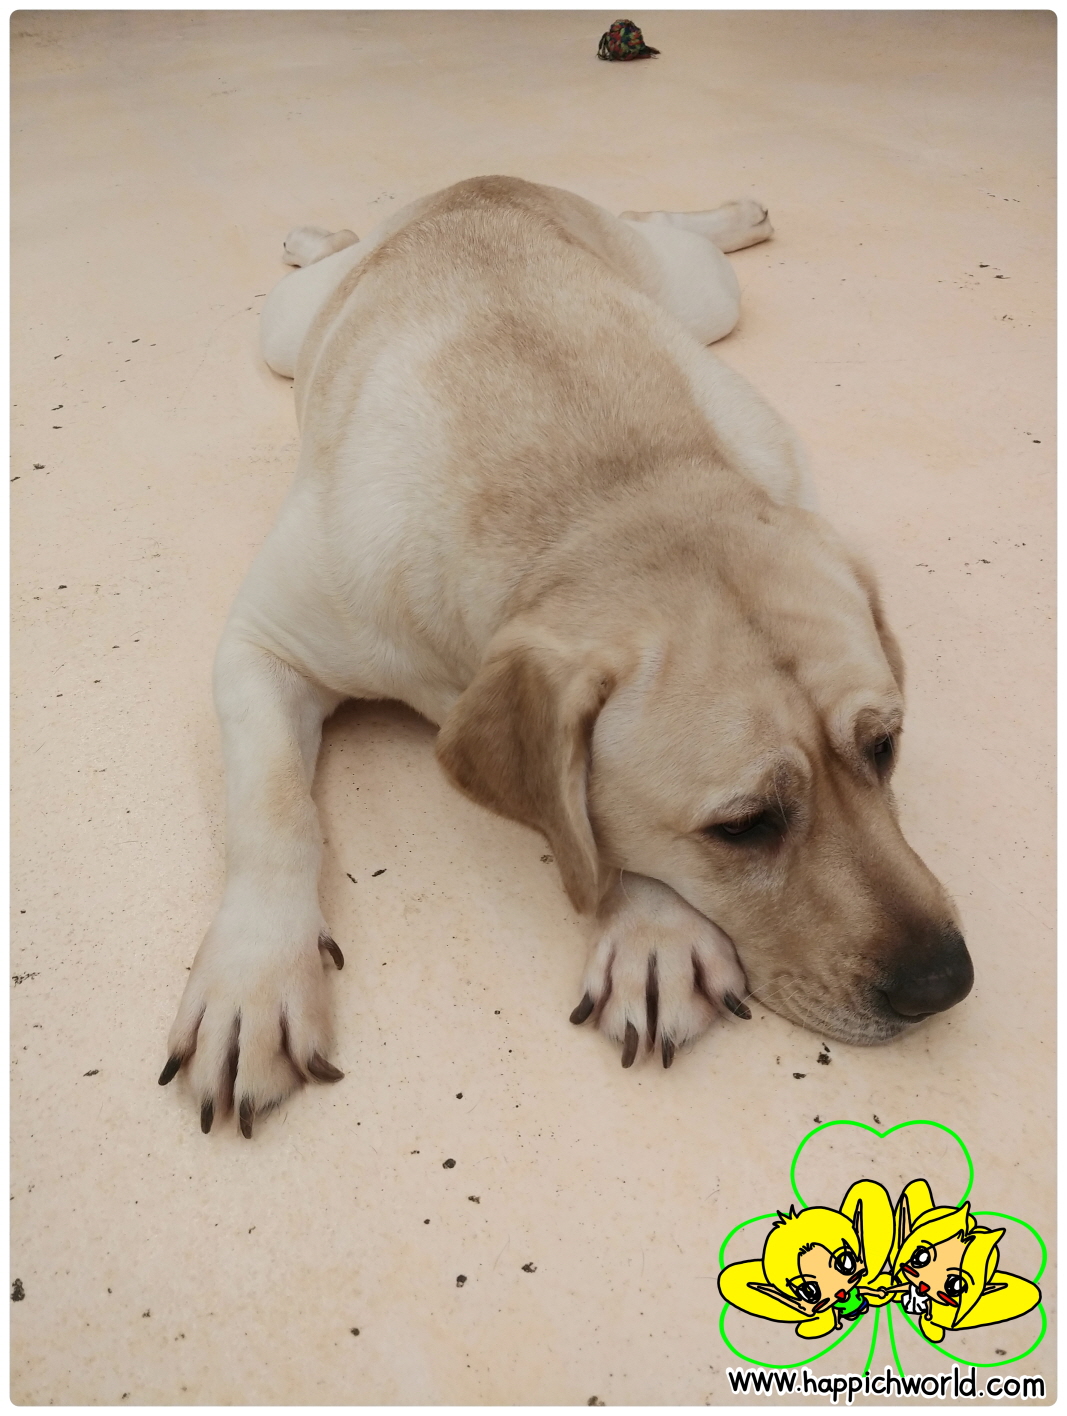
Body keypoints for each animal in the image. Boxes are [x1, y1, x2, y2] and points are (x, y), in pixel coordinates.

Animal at [159, 176, 973, 1137]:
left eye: (884, 747)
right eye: (742, 827)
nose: (944, 983)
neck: (603, 491)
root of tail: (479, 184)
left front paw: (654, 933)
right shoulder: (261, 646)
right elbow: (274, 809)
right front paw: (255, 978)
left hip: (702, 297)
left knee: (663, 227)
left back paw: (729, 216)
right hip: (284, 332)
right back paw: (320, 235)